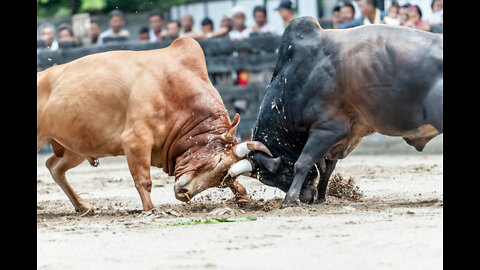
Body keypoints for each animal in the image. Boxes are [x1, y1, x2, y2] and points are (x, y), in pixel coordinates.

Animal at [37, 35, 274, 214]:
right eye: (214, 162)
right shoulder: (135, 141)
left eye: (223, 177)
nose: (184, 193)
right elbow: (143, 180)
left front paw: (243, 196)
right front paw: (150, 210)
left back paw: (82, 205)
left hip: (74, 148)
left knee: (54, 167)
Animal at [248, 16, 442, 207]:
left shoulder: (328, 129)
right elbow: (325, 170)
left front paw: (289, 200)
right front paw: (321, 197)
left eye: (273, 177)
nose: (306, 197)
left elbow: (302, 162)